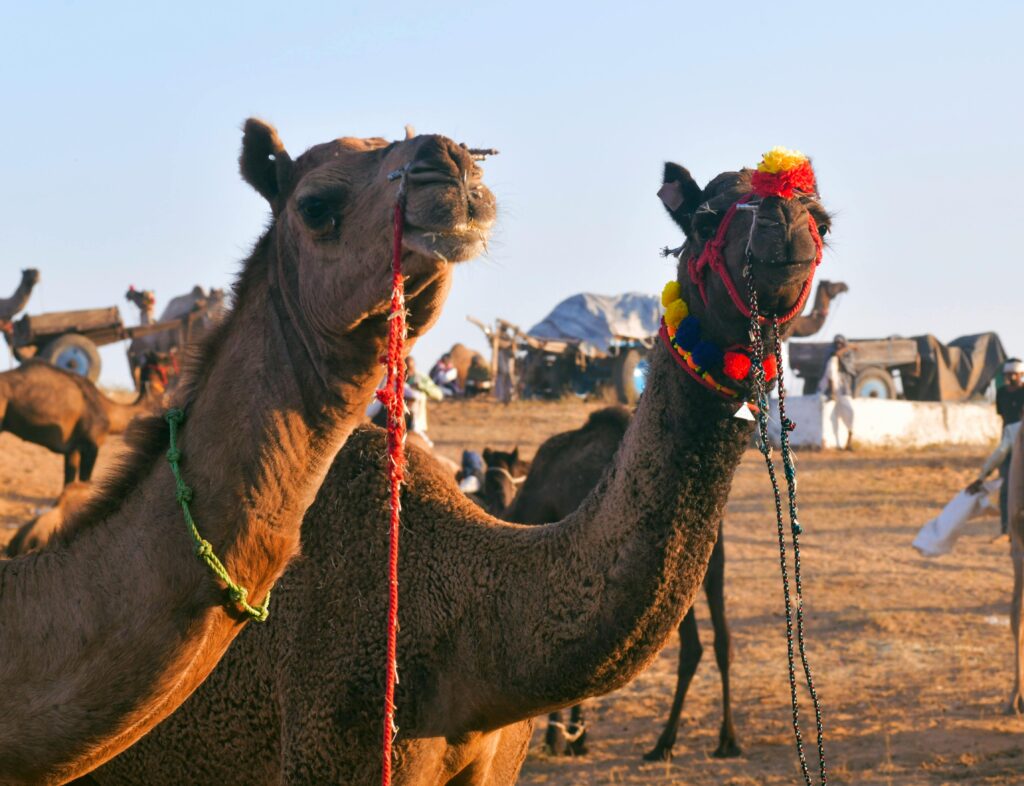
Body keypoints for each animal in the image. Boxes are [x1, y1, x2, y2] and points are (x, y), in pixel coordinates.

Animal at [0, 361, 161, 485]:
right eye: (161, 369)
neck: (109, 411)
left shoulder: (73, 449)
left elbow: (69, 483)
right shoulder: (91, 445)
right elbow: (85, 481)